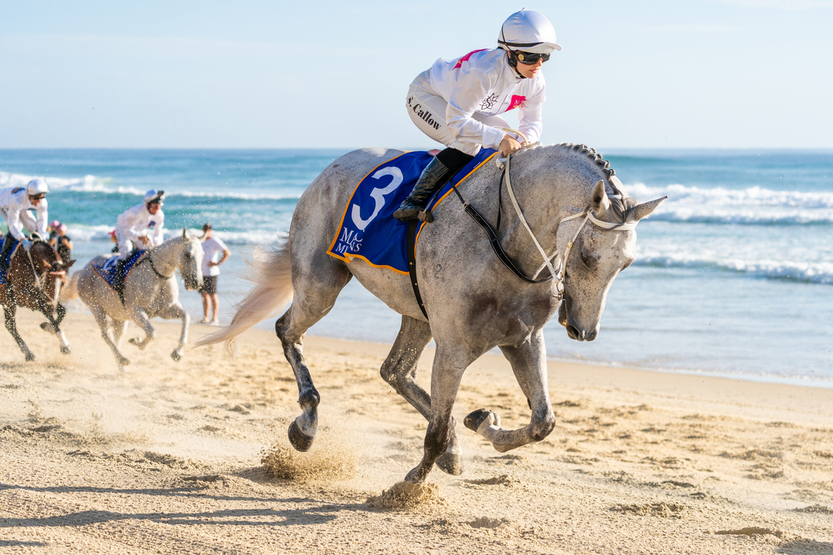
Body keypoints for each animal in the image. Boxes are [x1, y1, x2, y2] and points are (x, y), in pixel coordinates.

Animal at [62, 228, 204, 372]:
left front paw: (178, 353)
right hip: (96, 308)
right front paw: (138, 342)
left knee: (117, 336)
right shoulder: (135, 311)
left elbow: (185, 317)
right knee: (106, 334)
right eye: (188, 254)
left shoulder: (165, 310)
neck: (156, 275)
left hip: (119, 316)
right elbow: (151, 332)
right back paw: (122, 359)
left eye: (203, 255)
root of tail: (84, 268)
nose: (197, 283)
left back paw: (121, 367)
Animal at [198, 143, 668, 482]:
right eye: (588, 256)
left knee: (394, 371)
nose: (584, 331)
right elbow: (437, 430)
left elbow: (543, 422)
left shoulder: (522, 340)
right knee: (288, 330)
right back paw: (306, 423)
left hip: (416, 315)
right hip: (320, 285)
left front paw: (482, 423)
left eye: (626, 264)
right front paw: (408, 487)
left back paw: (455, 446)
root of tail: (330, 168)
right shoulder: (454, 347)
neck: (504, 238)